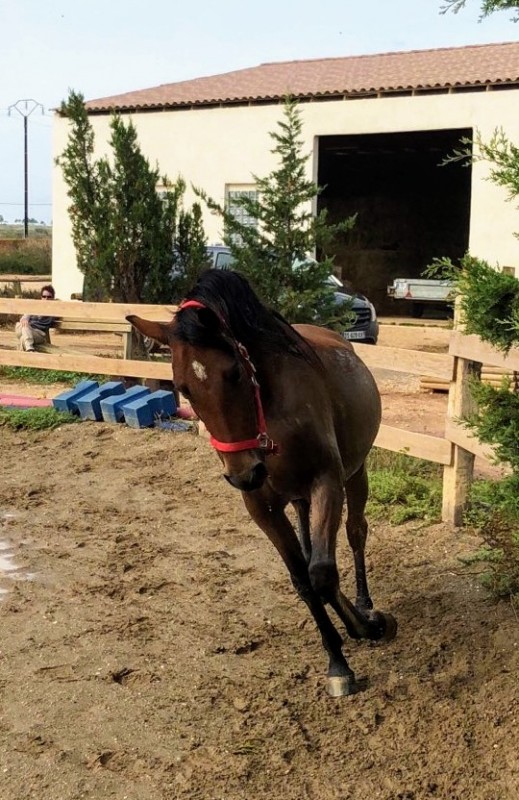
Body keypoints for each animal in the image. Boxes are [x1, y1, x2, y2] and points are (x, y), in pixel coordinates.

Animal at [127, 269, 397, 697]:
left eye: (235, 372)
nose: (244, 473)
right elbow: (304, 578)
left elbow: (322, 573)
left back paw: (365, 601)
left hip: (356, 476)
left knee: (356, 533)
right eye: (184, 388)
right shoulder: (262, 506)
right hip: (299, 498)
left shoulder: (328, 482)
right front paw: (337, 661)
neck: (271, 417)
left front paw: (366, 626)